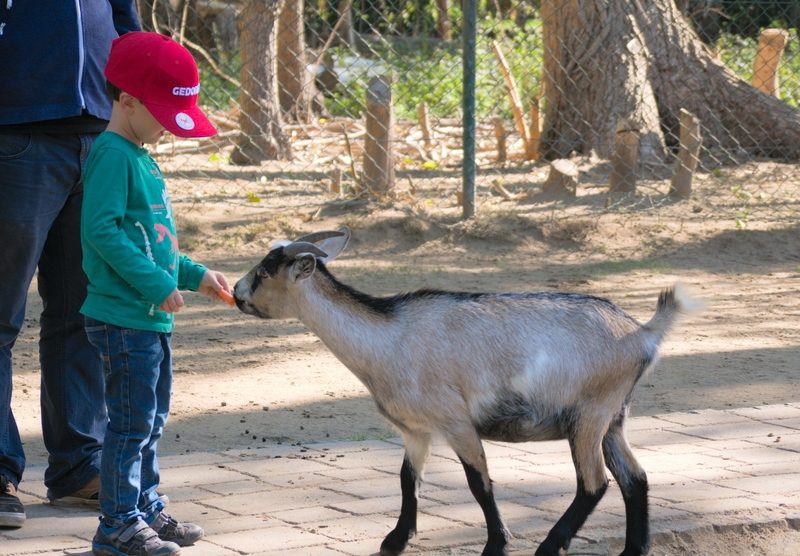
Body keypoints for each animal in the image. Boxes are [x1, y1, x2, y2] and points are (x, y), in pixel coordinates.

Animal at [231, 227, 692, 556]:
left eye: (265, 271)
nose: (235, 293)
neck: (390, 338)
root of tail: (642, 332)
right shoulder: (415, 430)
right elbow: (408, 479)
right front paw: (394, 541)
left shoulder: (456, 421)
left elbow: (478, 482)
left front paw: (496, 545)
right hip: (614, 418)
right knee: (635, 478)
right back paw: (632, 550)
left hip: (590, 416)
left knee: (594, 483)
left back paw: (549, 546)